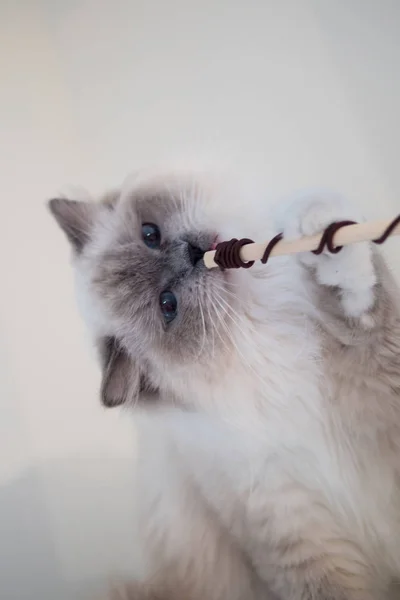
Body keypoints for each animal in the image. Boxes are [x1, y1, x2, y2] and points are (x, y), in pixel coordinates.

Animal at [48, 168, 400, 600]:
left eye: (150, 235)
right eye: (168, 305)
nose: (194, 253)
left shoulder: (372, 355)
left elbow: (353, 293)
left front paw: (317, 233)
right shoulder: (289, 530)